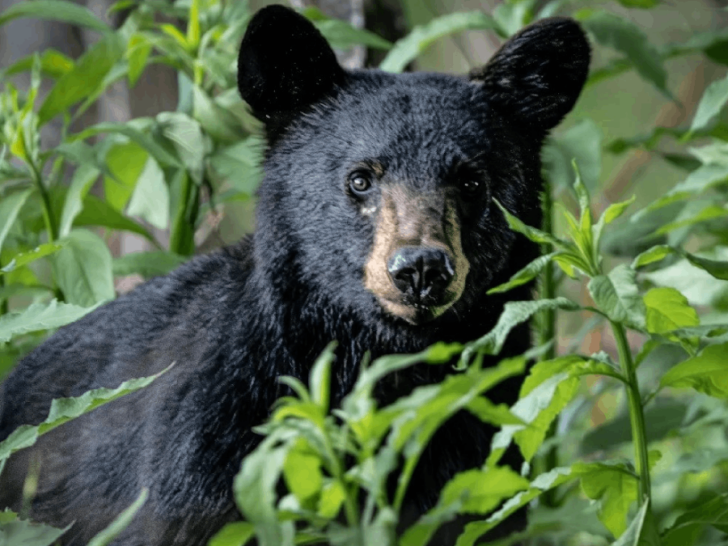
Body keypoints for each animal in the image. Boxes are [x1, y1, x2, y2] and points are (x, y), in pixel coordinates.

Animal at [0, 5, 590, 545]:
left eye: (471, 182)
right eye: (360, 178)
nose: (420, 268)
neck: (383, 372)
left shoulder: (480, 459)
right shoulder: (202, 464)